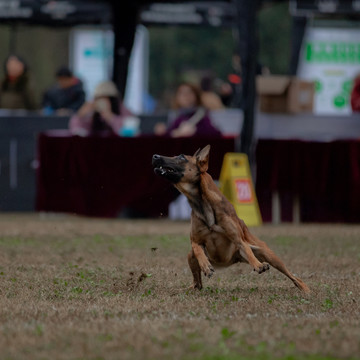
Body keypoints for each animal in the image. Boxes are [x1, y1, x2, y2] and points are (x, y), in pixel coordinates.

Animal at [152, 144, 310, 292]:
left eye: (181, 157)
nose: (154, 156)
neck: (202, 204)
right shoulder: (195, 242)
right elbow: (198, 250)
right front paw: (206, 266)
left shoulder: (238, 239)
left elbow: (247, 250)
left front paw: (258, 265)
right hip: (189, 257)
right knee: (198, 283)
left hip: (269, 255)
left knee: (293, 277)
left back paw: (305, 289)